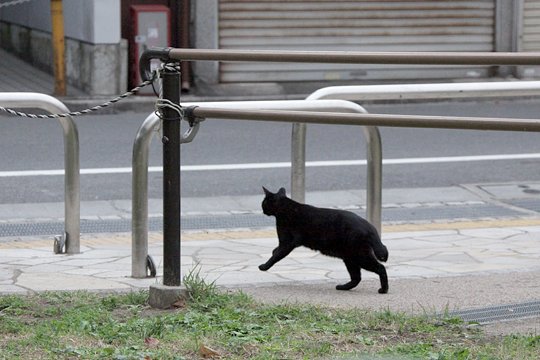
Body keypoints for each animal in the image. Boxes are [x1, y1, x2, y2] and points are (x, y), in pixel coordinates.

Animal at [258, 187, 388, 294]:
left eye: (263, 203)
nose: (262, 210)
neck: (285, 209)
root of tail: (370, 226)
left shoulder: (287, 243)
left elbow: (275, 257)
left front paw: (264, 267)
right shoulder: (284, 243)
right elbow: (275, 251)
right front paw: (272, 253)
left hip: (359, 256)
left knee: (380, 268)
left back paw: (384, 290)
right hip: (349, 258)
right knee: (356, 277)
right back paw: (343, 287)